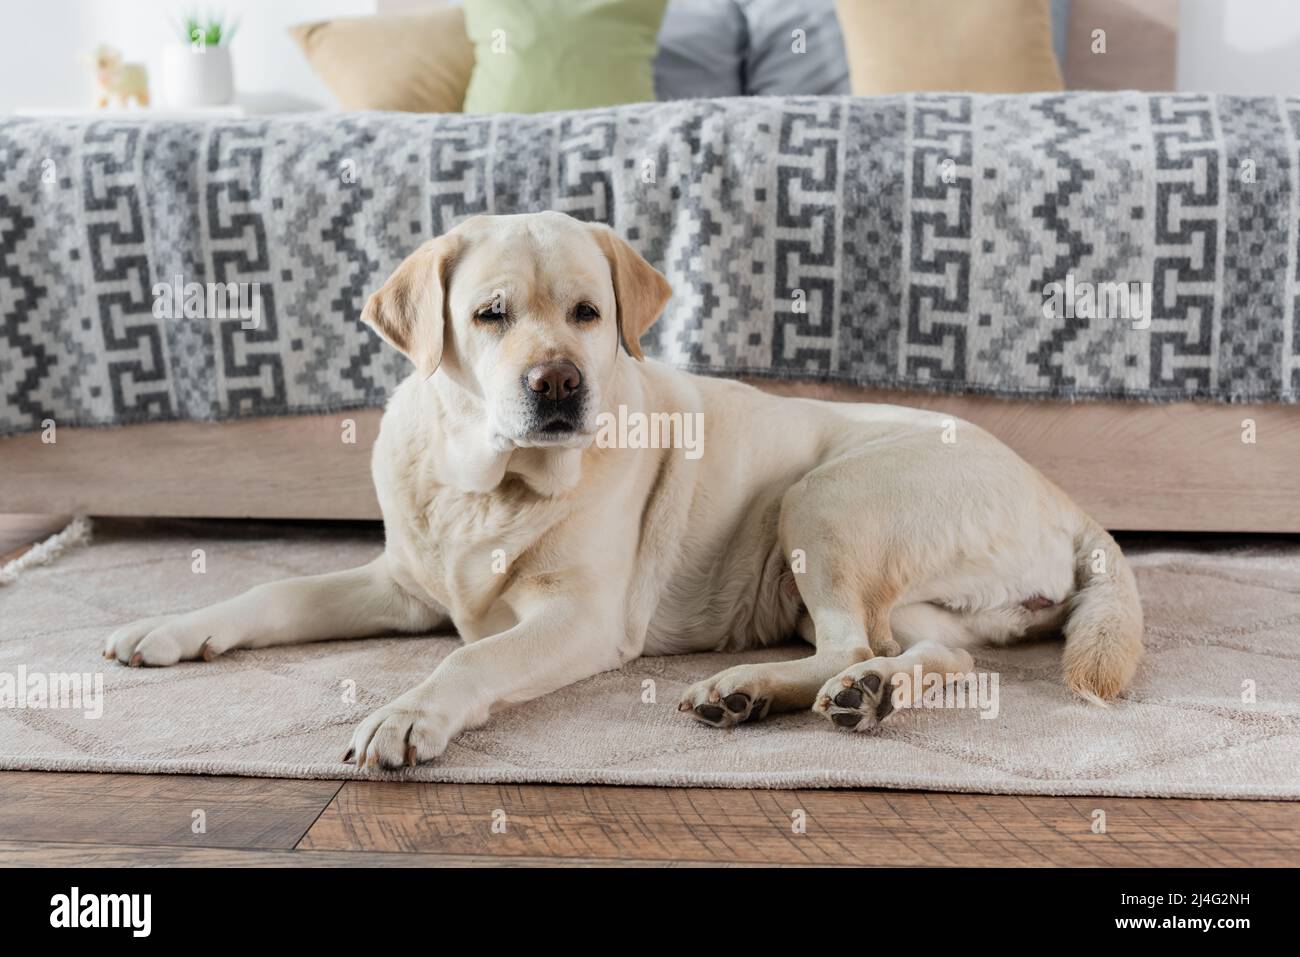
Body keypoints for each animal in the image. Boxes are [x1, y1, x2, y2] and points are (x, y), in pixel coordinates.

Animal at [106, 210, 1144, 769]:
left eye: (587, 313)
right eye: (489, 314)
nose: (559, 383)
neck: (488, 484)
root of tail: (1066, 501)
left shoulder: (580, 618)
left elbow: (470, 660)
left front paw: (407, 715)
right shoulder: (402, 584)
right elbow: (272, 589)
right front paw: (170, 628)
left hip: (823, 497)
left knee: (852, 639)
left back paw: (753, 689)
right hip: (918, 589)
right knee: (932, 651)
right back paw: (858, 693)